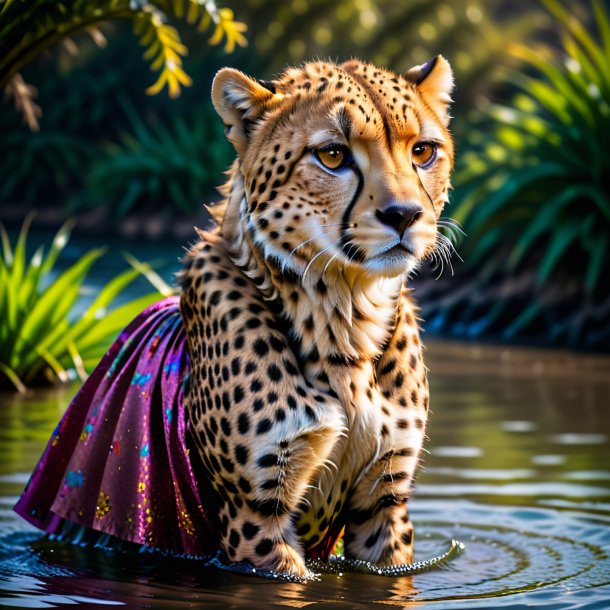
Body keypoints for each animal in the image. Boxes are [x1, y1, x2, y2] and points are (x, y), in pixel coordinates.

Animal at [178, 55, 454, 576]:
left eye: (423, 151)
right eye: (332, 155)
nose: (405, 215)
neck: (347, 315)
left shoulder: (384, 504)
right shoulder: (255, 517)